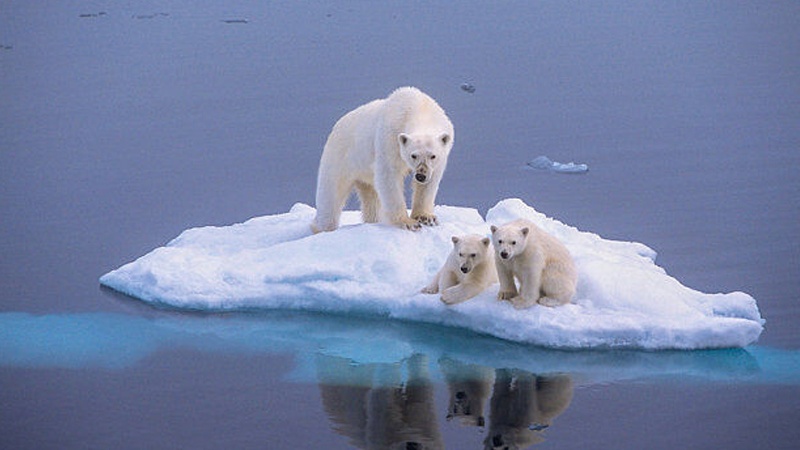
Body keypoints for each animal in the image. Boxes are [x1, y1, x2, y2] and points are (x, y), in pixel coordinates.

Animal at [310, 86, 454, 234]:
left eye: (433, 156)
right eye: (413, 155)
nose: (420, 175)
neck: (419, 108)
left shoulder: (441, 155)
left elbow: (429, 183)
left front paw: (426, 218)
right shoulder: (390, 138)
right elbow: (389, 176)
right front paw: (409, 223)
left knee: (371, 199)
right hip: (340, 157)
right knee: (331, 195)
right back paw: (320, 227)